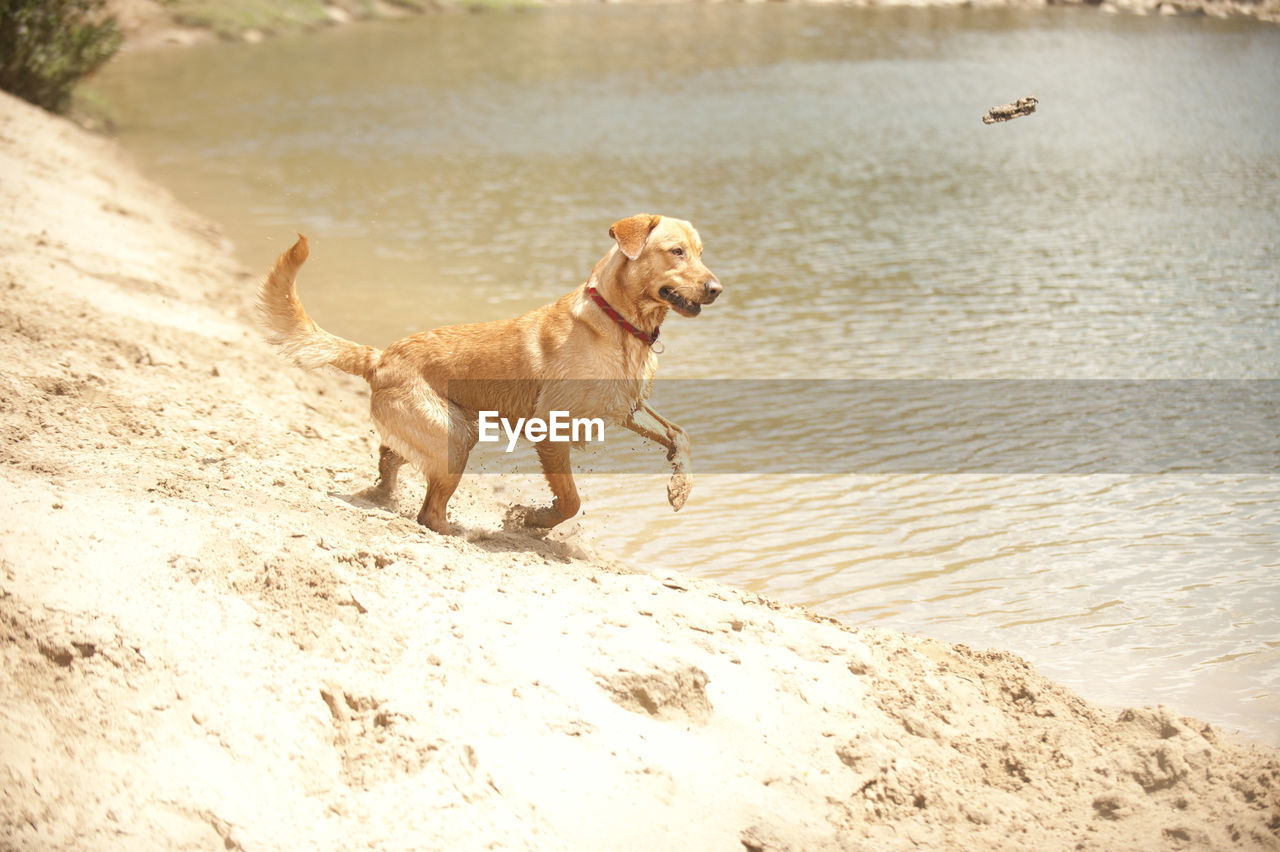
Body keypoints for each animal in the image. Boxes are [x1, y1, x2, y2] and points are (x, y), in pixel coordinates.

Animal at [257, 212, 721, 532]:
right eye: (676, 251)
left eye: (700, 252)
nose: (717, 288)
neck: (620, 324)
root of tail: (380, 356)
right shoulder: (552, 429)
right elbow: (569, 500)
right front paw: (533, 520)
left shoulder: (627, 406)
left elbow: (681, 434)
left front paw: (680, 487)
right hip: (455, 437)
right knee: (429, 511)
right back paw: (456, 531)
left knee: (390, 458)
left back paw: (384, 495)